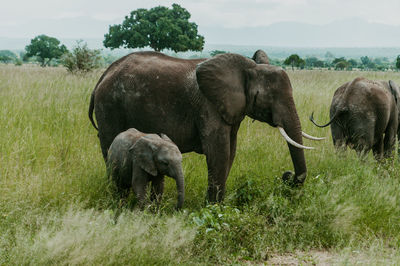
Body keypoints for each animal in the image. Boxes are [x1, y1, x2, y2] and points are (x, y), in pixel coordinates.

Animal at [89, 50, 320, 203]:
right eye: (266, 97)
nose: (286, 175)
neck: (248, 68)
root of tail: (102, 76)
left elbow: (230, 152)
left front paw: (217, 205)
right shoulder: (208, 106)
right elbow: (219, 151)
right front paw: (213, 207)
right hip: (110, 106)